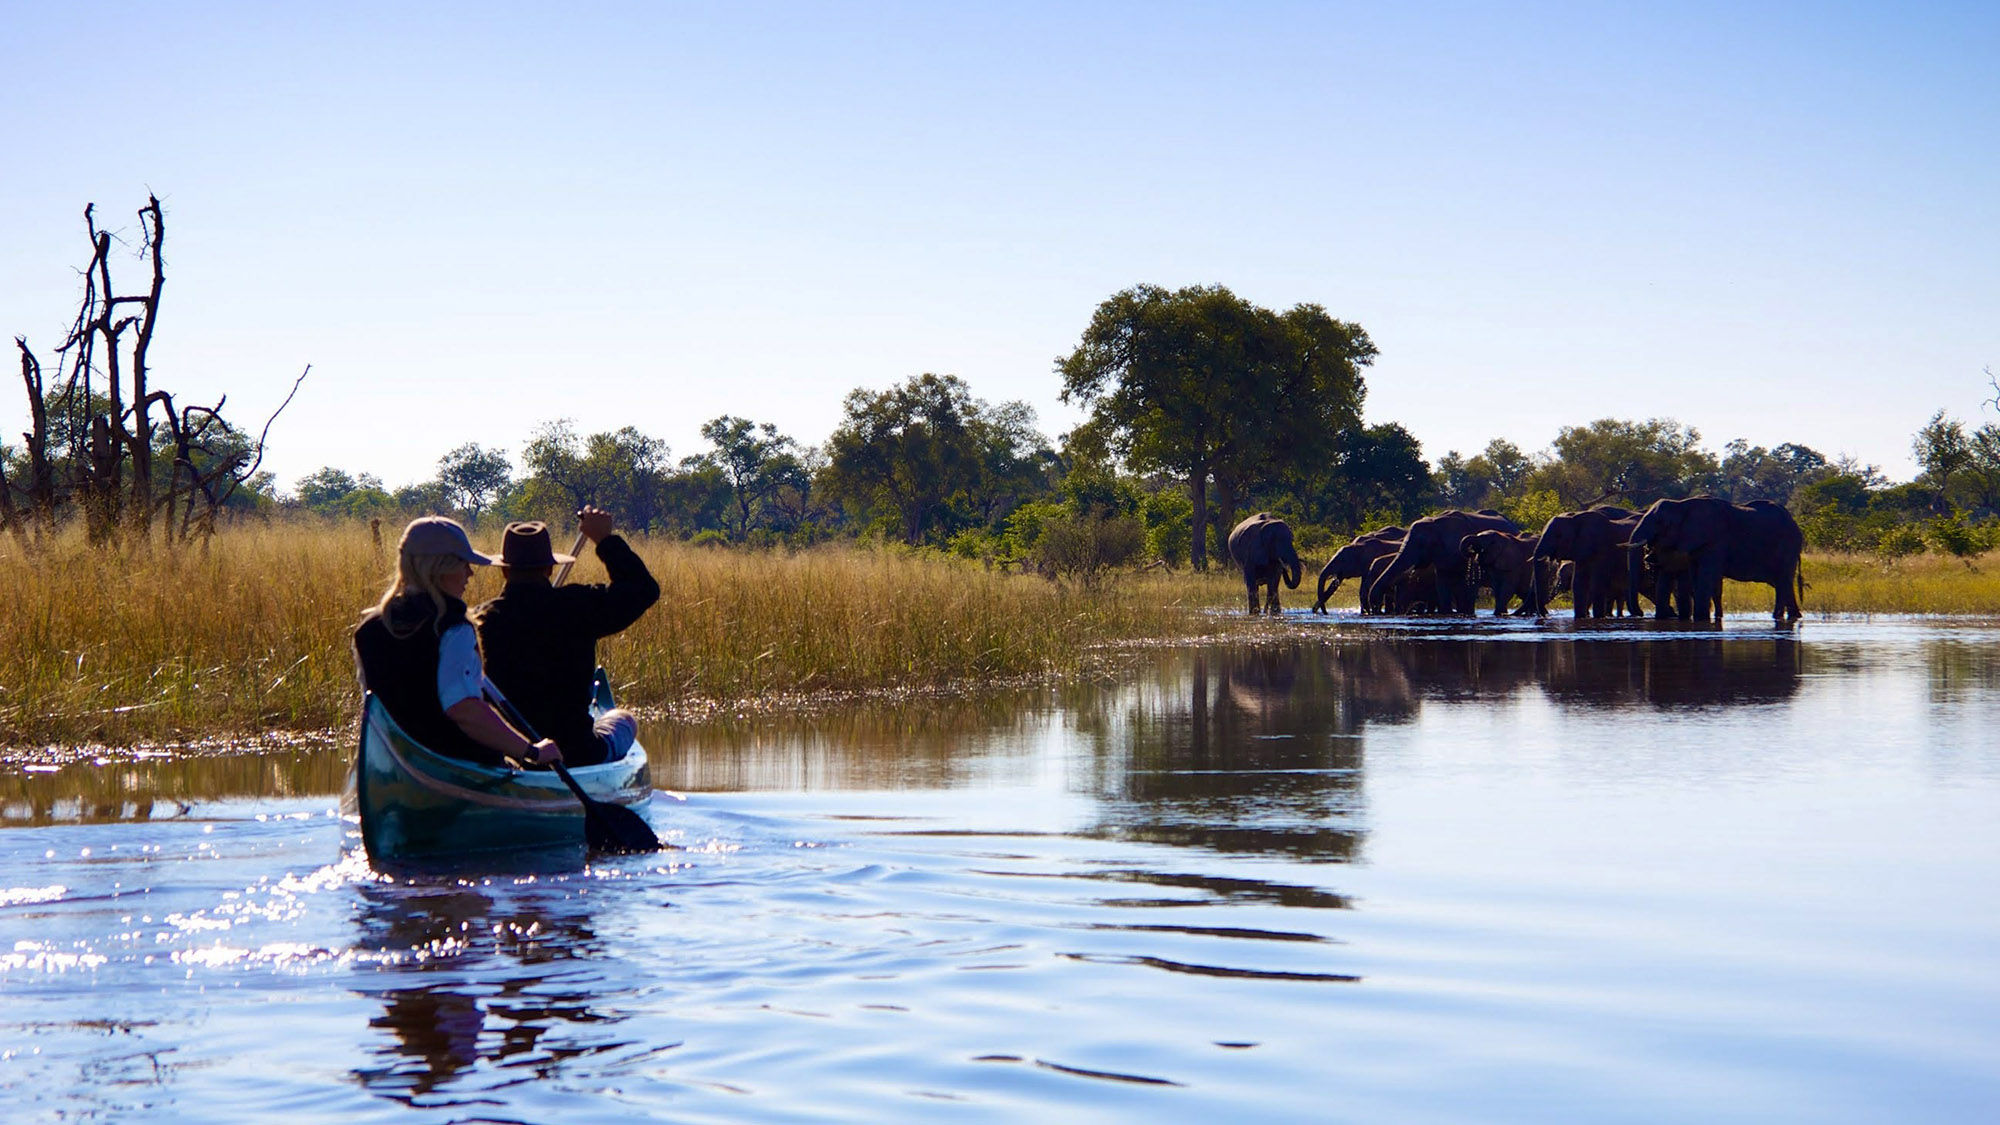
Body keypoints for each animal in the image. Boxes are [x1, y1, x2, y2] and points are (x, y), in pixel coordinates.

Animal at [1616, 498, 1808, 620]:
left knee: (1782, 581)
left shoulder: (1715, 540)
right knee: (1782, 583)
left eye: (1660, 522)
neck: (1681, 505)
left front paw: (1700, 618)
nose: (1640, 613)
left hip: (1788, 545)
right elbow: (1691, 575)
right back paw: (1795, 616)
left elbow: (1706, 575)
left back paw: (1777, 616)